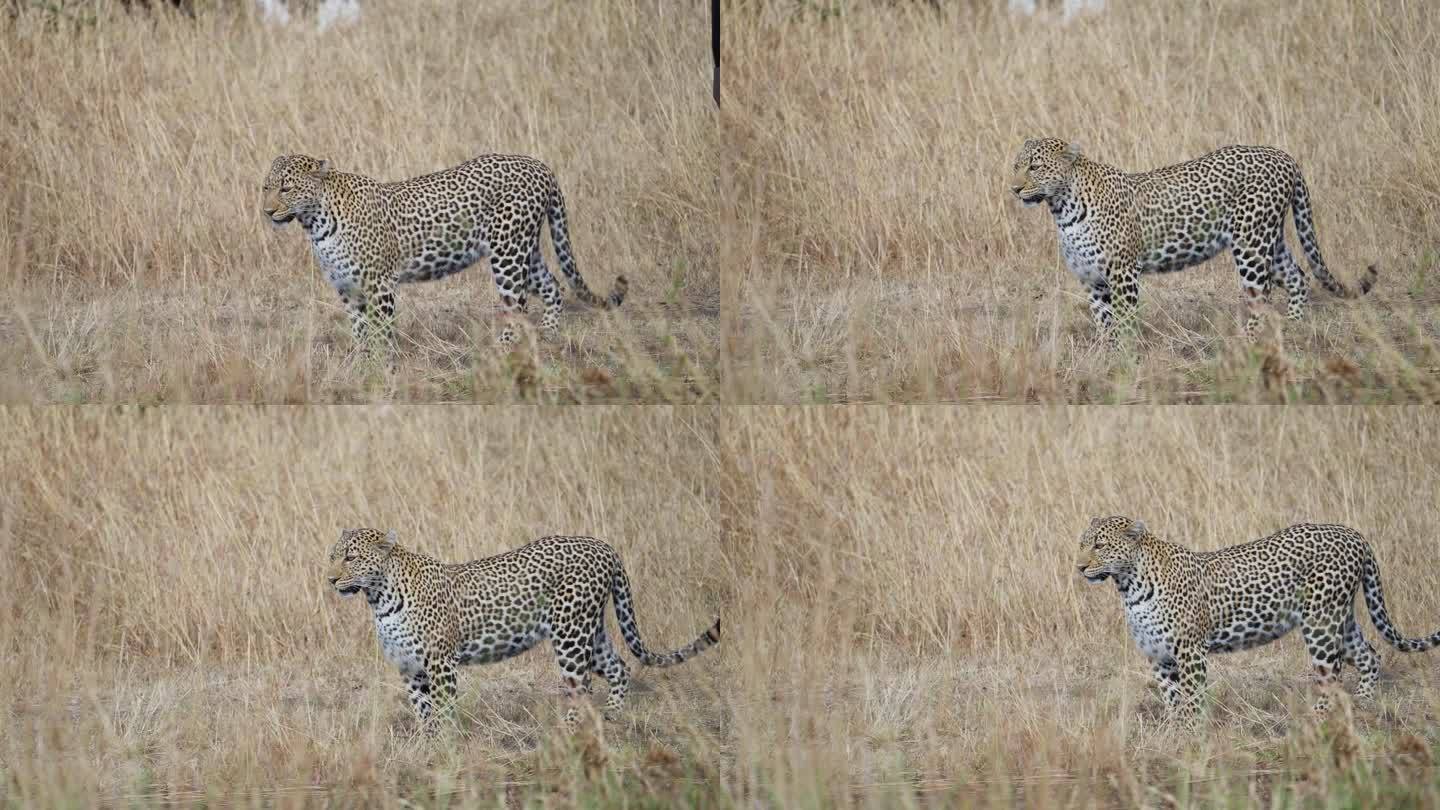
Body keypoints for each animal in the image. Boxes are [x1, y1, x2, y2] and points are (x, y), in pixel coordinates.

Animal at [264, 152, 624, 348]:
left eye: (287, 188)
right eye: (265, 187)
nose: (267, 211)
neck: (316, 222)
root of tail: (540, 167)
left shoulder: (379, 284)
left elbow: (381, 331)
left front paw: (383, 368)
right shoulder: (346, 286)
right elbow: (359, 329)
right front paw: (361, 362)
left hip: (508, 253)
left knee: (518, 305)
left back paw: (503, 349)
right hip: (523, 249)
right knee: (553, 286)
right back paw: (548, 335)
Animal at [326, 527, 720, 729]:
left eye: (351, 557)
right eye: (332, 555)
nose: (329, 579)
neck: (379, 597)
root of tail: (604, 546)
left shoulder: (440, 664)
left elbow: (443, 708)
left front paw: (446, 748)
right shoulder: (410, 667)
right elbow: (424, 712)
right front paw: (429, 747)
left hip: (571, 634)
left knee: (580, 685)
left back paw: (570, 732)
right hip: (590, 632)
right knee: (619, 667)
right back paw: (610, 717)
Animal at [1008, 138, 1376, 340]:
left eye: (1035, 167)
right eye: (1016, 165)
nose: (1013, 188)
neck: (1062, 209)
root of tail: (1283, 156)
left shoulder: (1123, 272)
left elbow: (1124, 320)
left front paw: (1126, 358)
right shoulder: (1091, 278)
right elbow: (1103, 321)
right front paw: (1106, 358)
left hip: (1251, 244)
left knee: (1260, 296)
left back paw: (1248, 343)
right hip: (1268, 239)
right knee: (1298, 277)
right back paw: (1294, 327)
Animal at [1082, 513, 1440, 720]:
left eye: (1100, 545)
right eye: (1082, 544)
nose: (1079, 566)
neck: (1129, 585)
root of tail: (1354, 535)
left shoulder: (1189, 651)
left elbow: (1192, 696)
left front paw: (1190, 733)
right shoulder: (1158, 655)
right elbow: (1171, 697)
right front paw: (1173, 730)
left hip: (1321, 623)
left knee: (1332, 675)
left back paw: (1317, 716)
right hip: (1340, 618)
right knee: (1370, 656)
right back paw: (1363, 703)